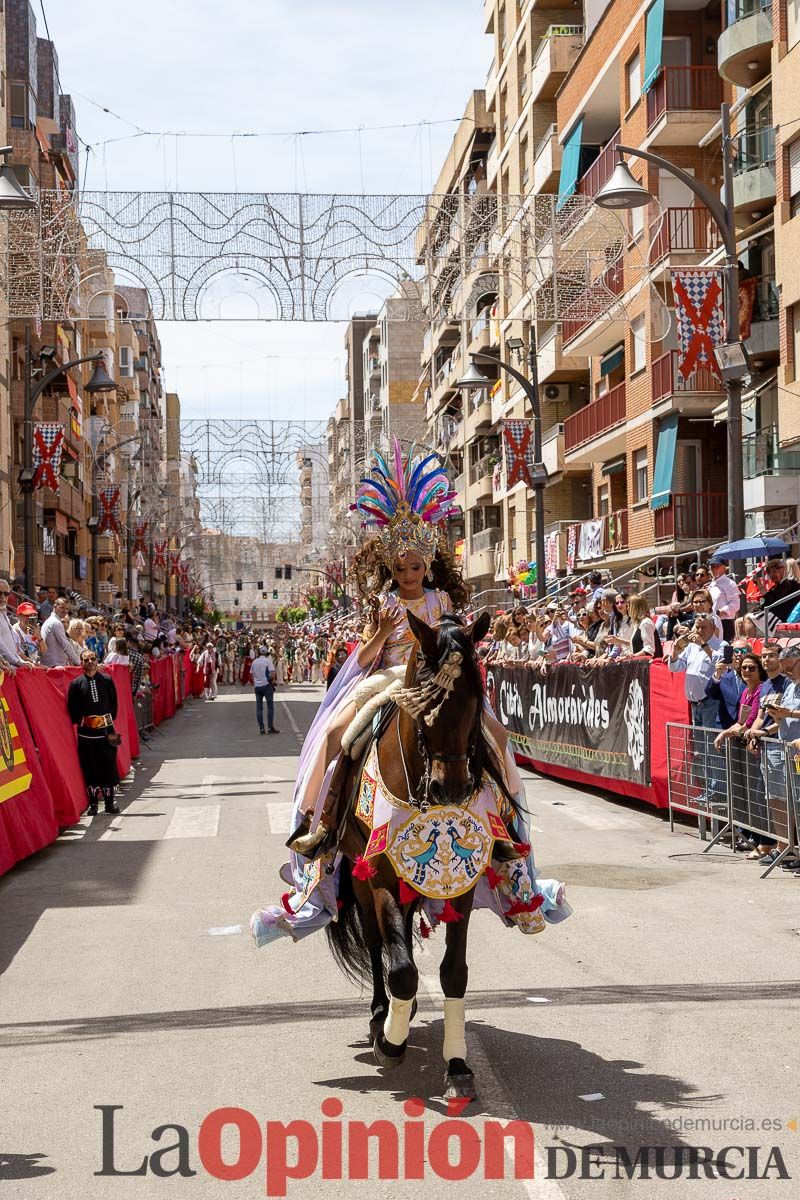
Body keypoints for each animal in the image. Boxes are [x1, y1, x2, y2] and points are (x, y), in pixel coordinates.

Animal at [323, 614, 520, 1099]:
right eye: (424, 709)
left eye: (475, 701)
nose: (450, 789)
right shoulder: (378, 876)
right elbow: (401, 969)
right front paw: (389, 1043)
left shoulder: (462, 883)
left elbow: (453, 972)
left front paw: (458, 1066)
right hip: (361, 877)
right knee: (378, 944)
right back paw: (382, 1014)